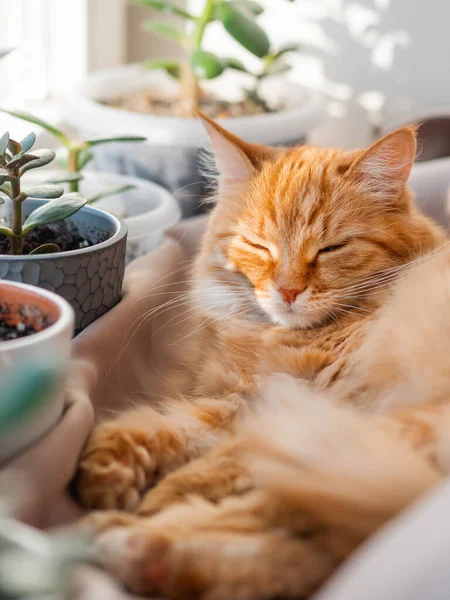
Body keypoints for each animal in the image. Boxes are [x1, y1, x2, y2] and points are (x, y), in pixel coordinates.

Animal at [75, 115, 448, 596]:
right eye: (259, 246)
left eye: (331, 249)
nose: (287, 291)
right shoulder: (241, 401)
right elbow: (165, 425)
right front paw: (110, 469)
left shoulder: (321, 410)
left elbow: (221, 461)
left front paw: (164, 492)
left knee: (278, 523)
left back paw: (127, 536)